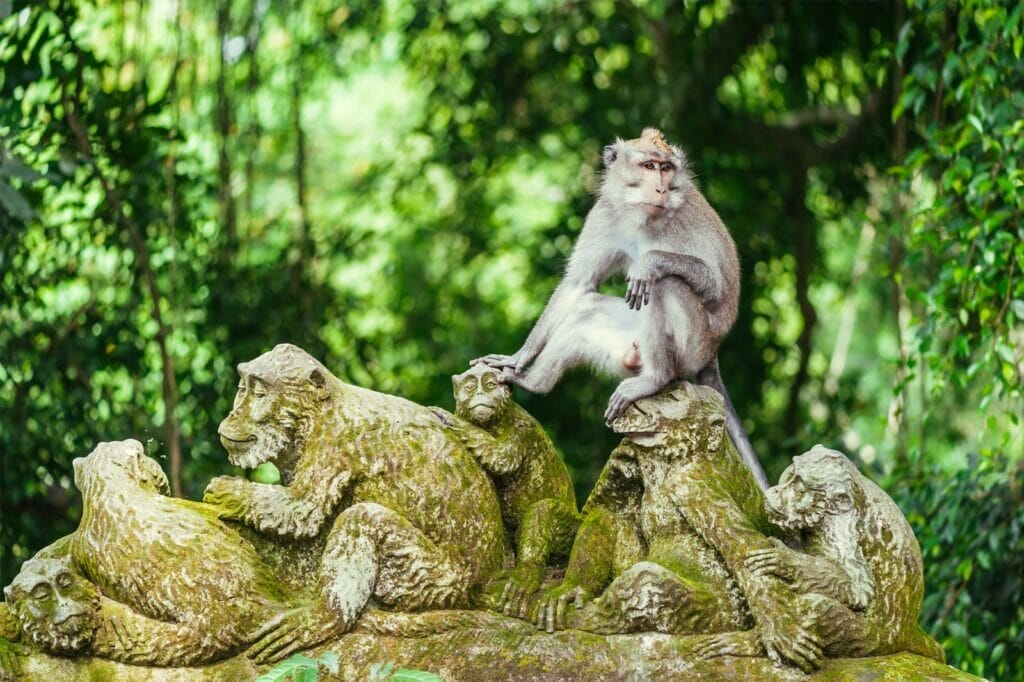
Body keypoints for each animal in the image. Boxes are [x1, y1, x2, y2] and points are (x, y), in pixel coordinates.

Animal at [473, 128, 768, 490]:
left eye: (666, 168)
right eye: (648, 165)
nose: (660, 187)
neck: (644, 216)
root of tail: (712, 355)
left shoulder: (683, 219)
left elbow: (714, 286)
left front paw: (649, 262)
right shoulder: (605, 215)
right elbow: (578, 285)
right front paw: (518, 357)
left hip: (693, 347)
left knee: (664, 285)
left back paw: (655, 378)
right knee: (586, 309)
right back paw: (532, 382)